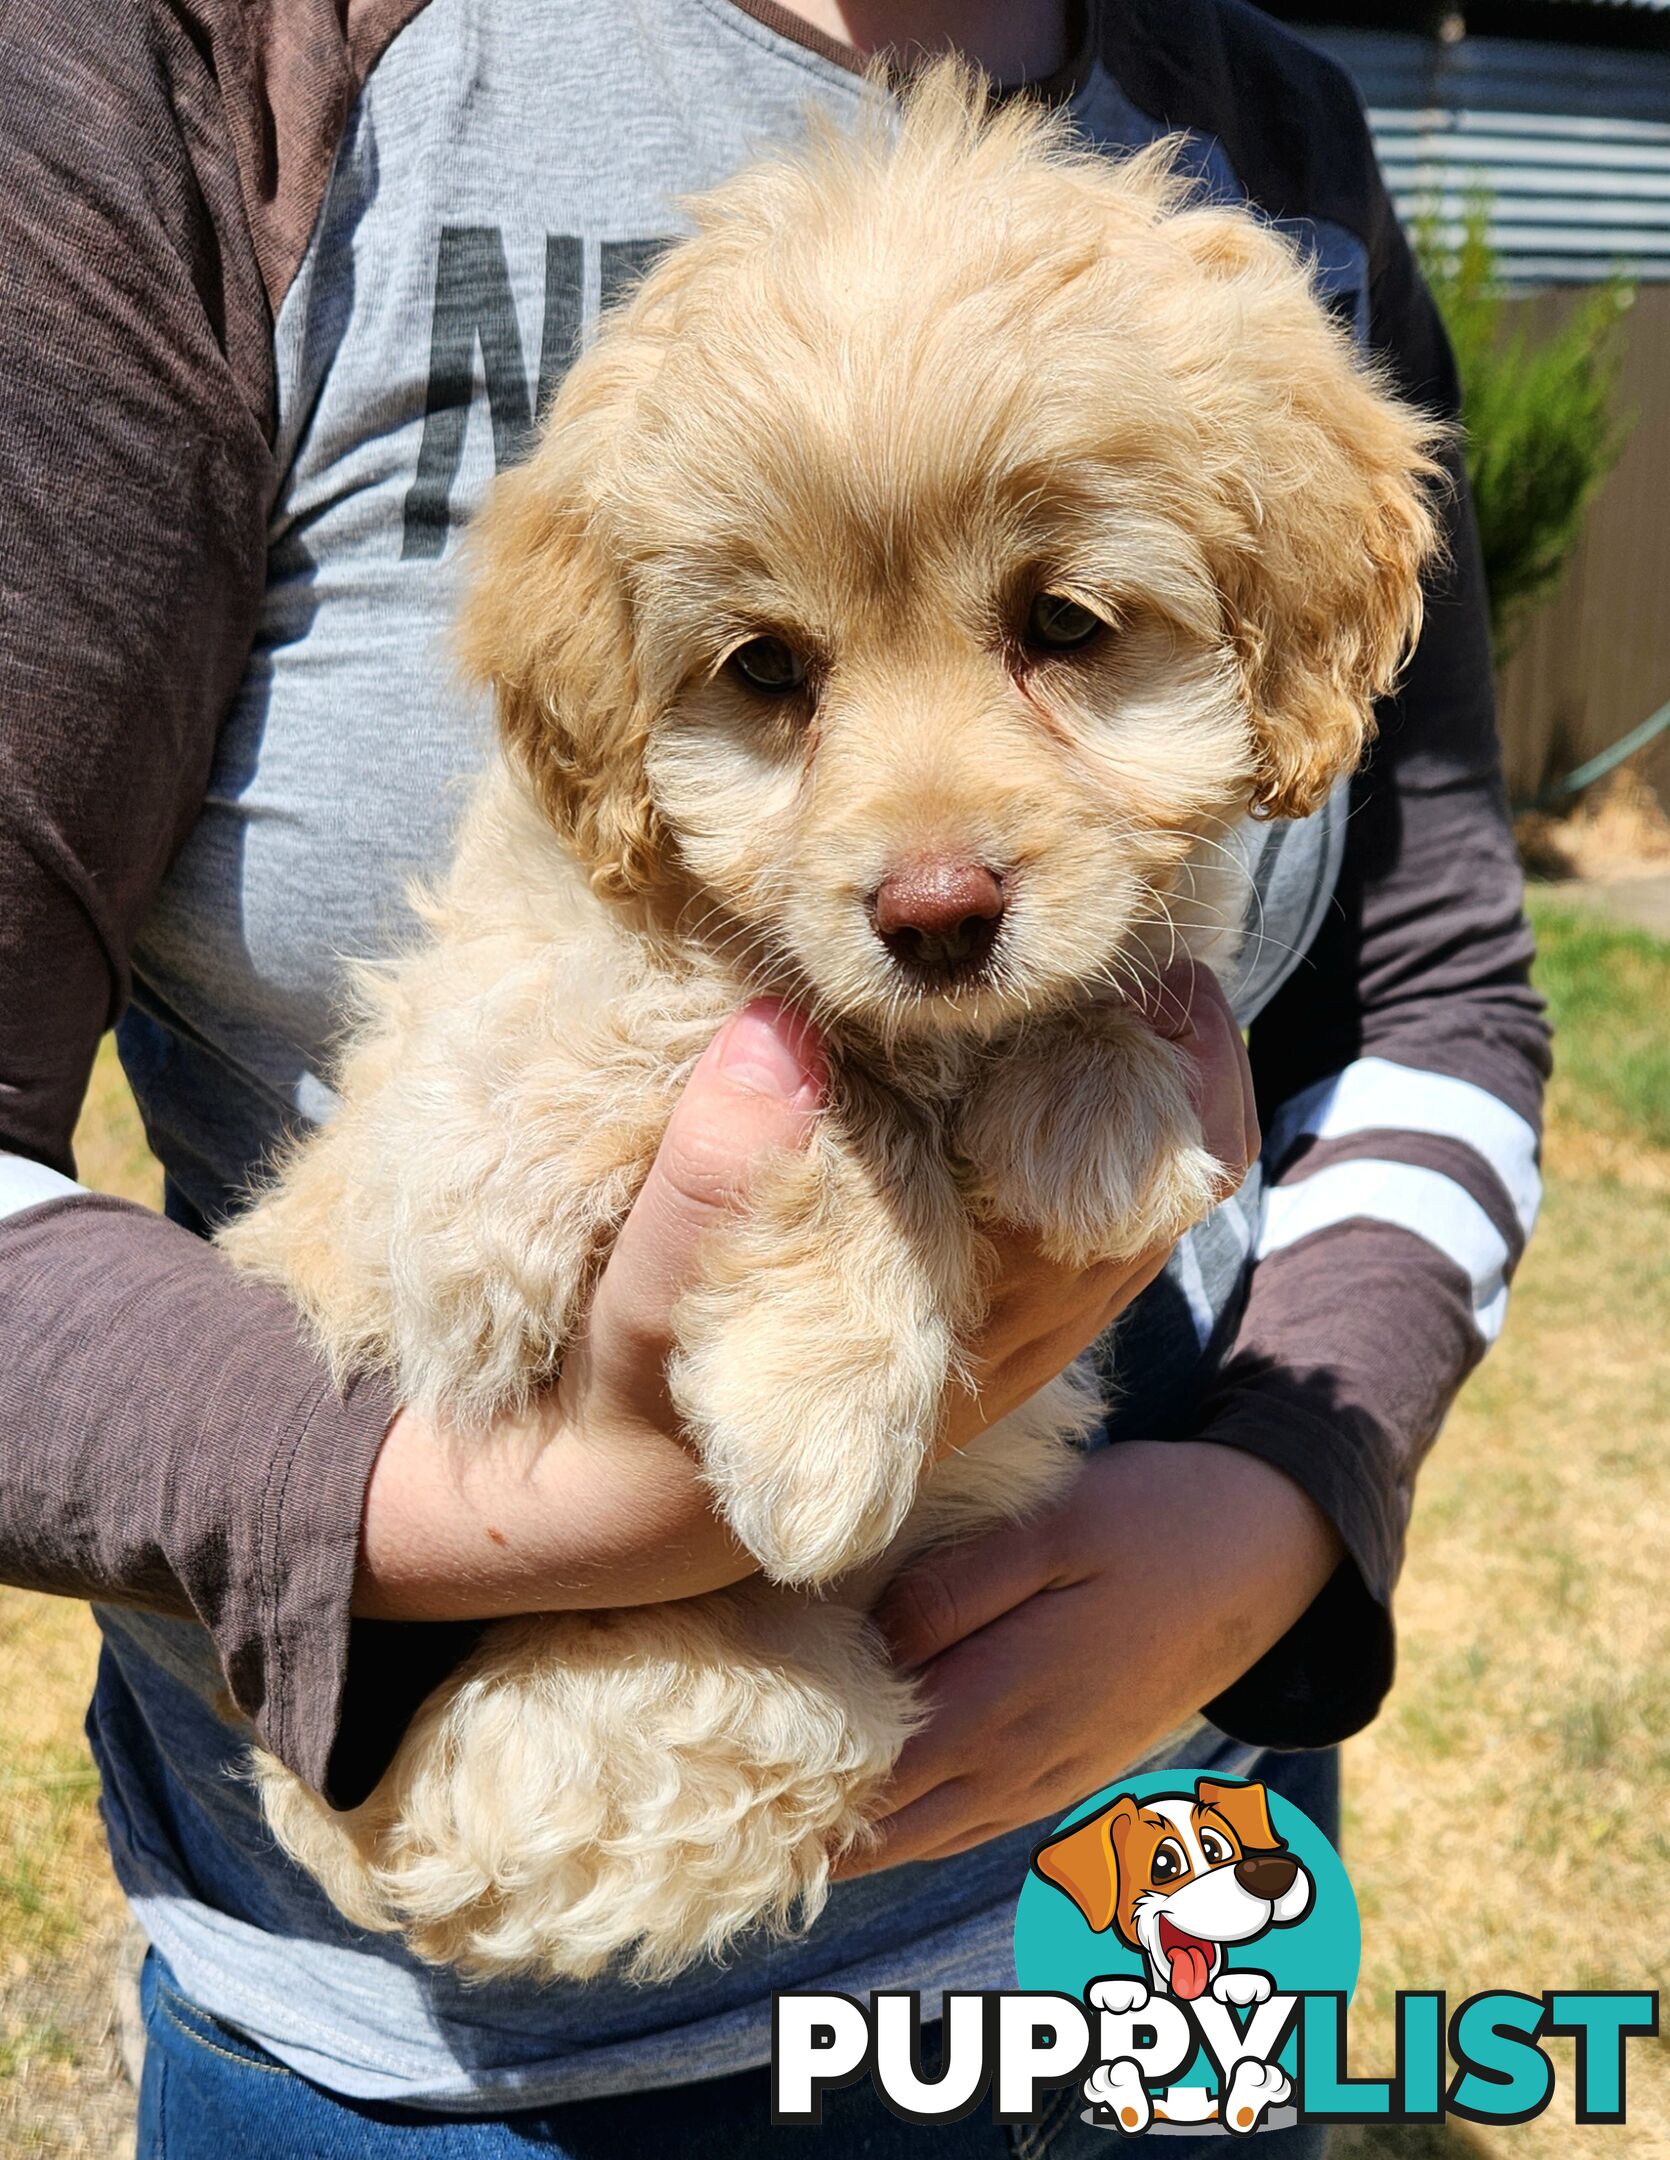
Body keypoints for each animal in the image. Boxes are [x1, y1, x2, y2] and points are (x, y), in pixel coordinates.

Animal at [221, 67, 1443, 1978]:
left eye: (1063, 624)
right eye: (767, 674)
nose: (934, 918)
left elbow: (1107, 974)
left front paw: (1094, 1109)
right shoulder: (483, 1121)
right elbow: (790, 1067)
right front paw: (824, 1402)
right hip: (739, 1710)